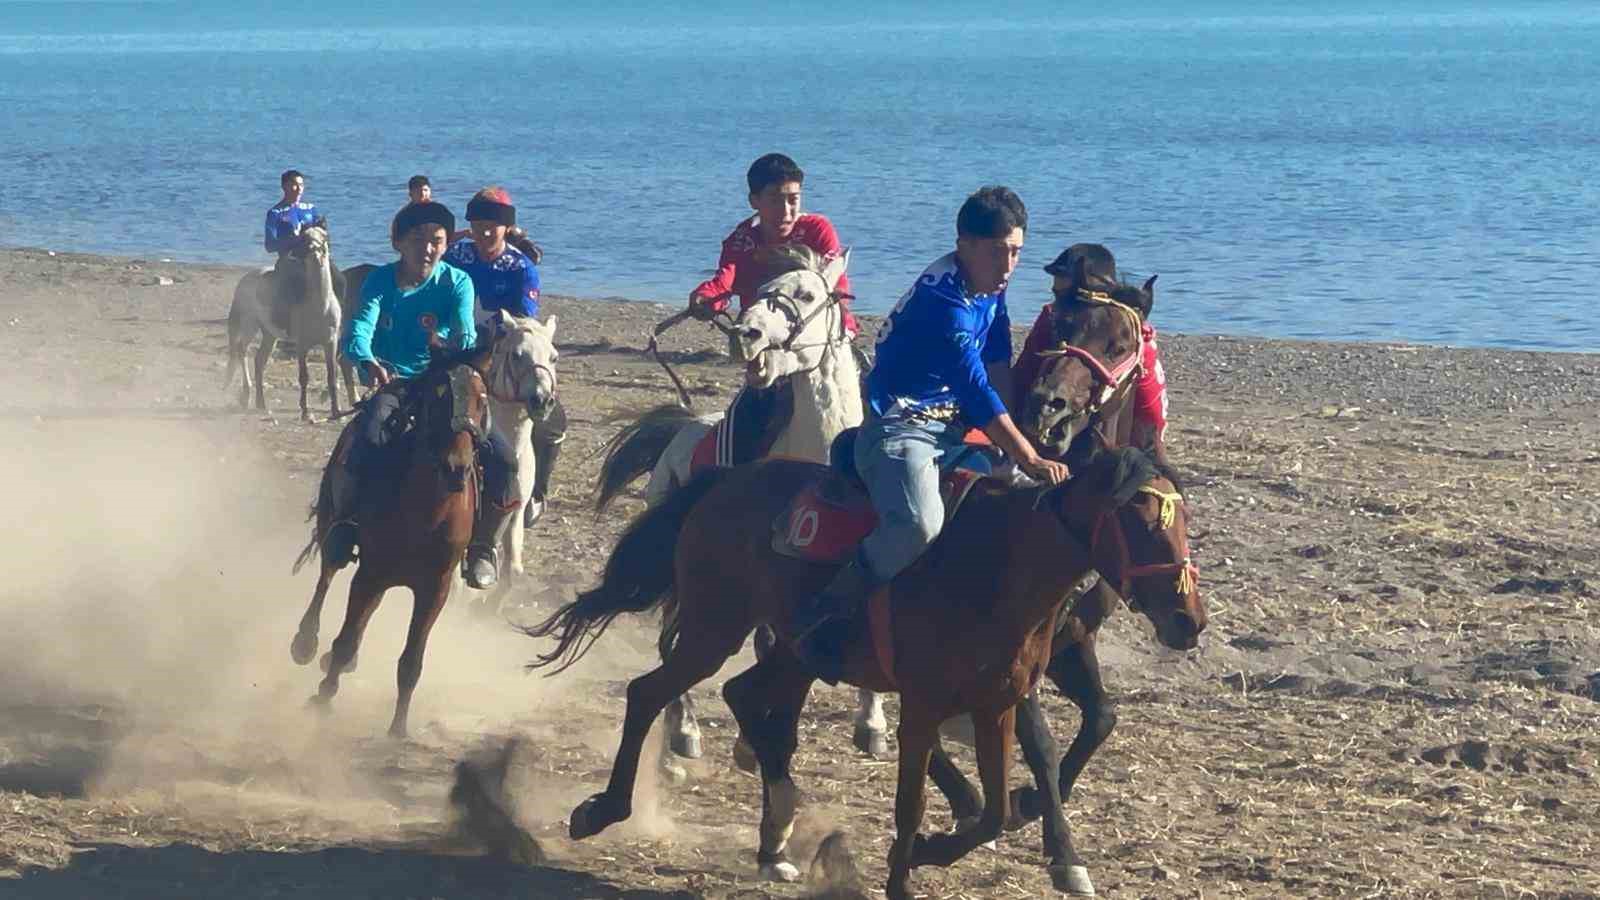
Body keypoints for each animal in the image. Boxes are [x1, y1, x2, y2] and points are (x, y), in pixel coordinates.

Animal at [224, 224, 348, 419]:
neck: (321, 305)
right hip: (250, 325)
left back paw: (261, 403)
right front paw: (305, 412)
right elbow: (304, 376)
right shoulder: (302, 344)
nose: (315, 251)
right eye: (304, 238)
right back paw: (246, 395)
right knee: (241, 351)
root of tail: (246, 279)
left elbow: (332, 375)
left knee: (259, 361)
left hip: (269, 334)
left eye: (324, 236)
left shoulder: (331, 342)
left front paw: (336, 411)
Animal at [521, 445, 1203, 896]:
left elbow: (995, 812)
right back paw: (603, 810)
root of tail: (723, 483)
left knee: (745, 697)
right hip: (716, 629)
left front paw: (937, 849)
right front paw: (907, 872)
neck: (995, 567)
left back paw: (776, 834)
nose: (1187, 620)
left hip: (790, 651)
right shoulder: (924, 707)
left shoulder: (997, 705)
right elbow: (913, 803)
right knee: (648, 693)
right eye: (1141, 520)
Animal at [588, 245, 889, 771]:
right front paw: (753, 741)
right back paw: (682, 733)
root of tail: (683, 427)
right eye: (761, 289)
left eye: (806, 294)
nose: (745, 335)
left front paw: (871, 724)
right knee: (671, 641)